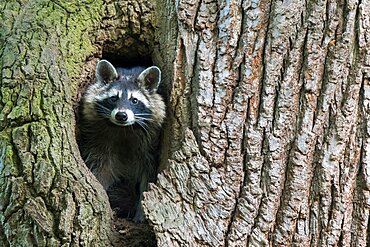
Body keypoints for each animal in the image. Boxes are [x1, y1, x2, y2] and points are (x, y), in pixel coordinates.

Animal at [80, 59, 165, 222]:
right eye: (114, 98)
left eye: (134, 100)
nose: (121, 115)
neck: (123, 129)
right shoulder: (99, 140)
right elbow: (101, 168)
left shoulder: (149, 146)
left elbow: (148, 177)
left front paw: (141, 211)